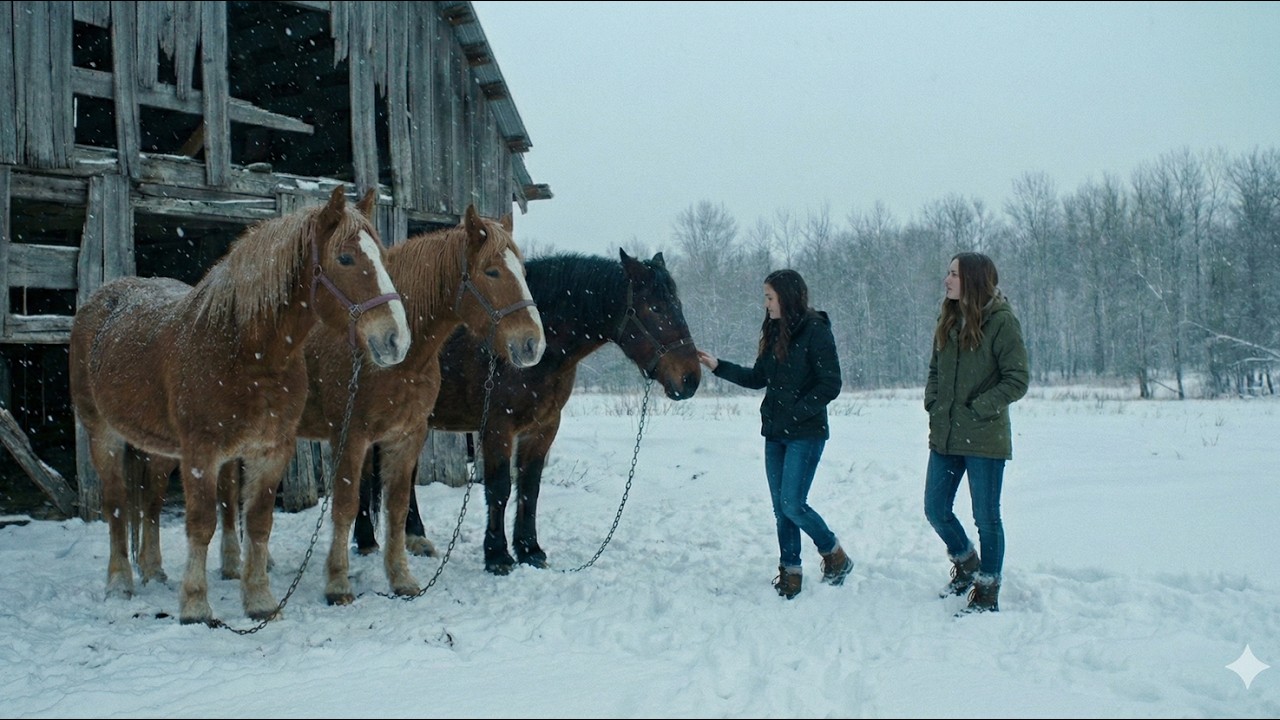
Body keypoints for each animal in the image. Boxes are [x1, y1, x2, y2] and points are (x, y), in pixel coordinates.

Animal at [69, 185, 410, 625]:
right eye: (346, 258)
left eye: (381, 257)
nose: (396, 340)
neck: (246, 352)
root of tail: (99, 302)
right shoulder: (201, 452)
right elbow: (201, 524)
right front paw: (195, 605)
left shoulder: (271, 450)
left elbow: (259, 522)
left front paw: (260, 600)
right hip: (103, 435)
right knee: (115, 505)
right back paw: (120, 584)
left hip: (158, 449)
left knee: (152, 502)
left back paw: (153, 570)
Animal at [356, 249, 700, 574]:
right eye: (655, 309)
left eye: (679, 305)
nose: (690, 379)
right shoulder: (497, 427)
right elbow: (499, 488)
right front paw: (497, 556)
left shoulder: (543, 427)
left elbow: (529, 487)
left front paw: (530, 550)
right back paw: (366, 540)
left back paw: (415, 538)